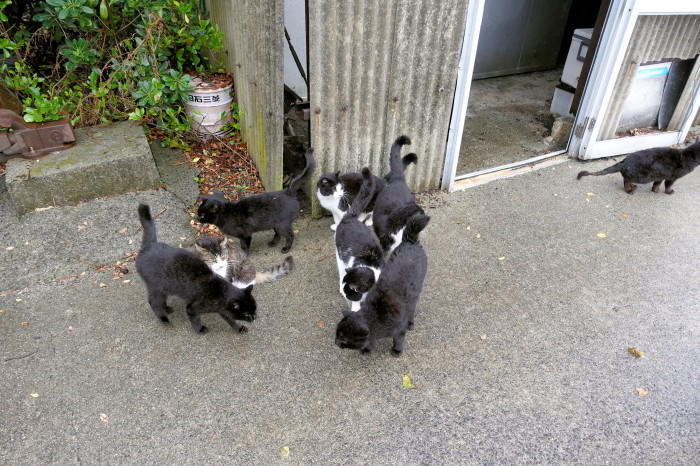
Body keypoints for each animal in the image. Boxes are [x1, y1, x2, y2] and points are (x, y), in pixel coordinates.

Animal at [134, 205, 258, 334]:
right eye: (246, 314)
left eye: (255, 308)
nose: (255, 317)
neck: (221, 292)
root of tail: (148, 246)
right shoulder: (192, 308)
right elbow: (195, 319)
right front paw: (200, 330)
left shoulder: (223, 309)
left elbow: (230, 319)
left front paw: (239, 328)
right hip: (157, 287)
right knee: (153, 302)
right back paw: (164, 319)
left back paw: (167, 309)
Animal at [334, 212, 430, 356]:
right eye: (336, 334)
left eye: (343, 340)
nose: (335, 342)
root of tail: (410, 241)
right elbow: (371, 340)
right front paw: (367, 349)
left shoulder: (398, 329)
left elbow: (398, 339)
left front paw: (396, 350)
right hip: (339, 256)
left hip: (415, 293)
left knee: (412, 307)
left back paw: (410, 323)